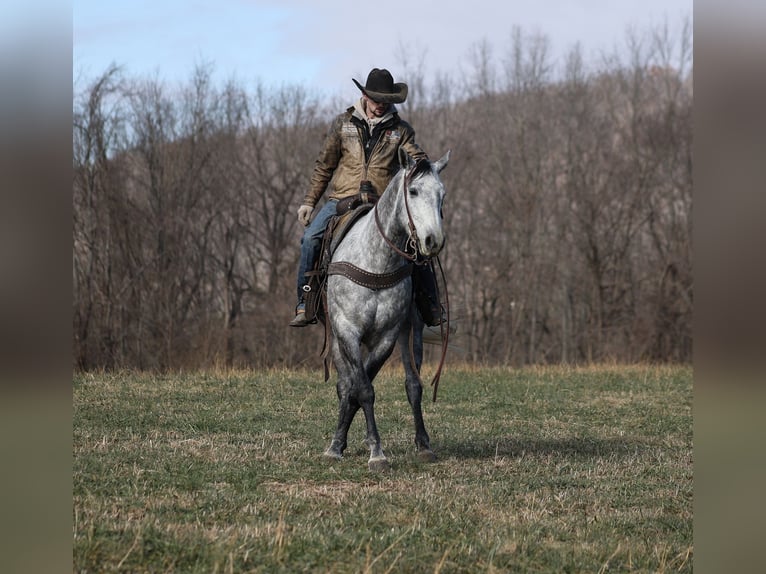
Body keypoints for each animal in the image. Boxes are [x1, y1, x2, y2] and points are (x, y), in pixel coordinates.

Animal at [323, 150, 450, 472]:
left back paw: (423, 445)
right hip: (336, 338)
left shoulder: (389, 335)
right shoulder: (347, 331)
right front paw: (370, 451)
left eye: (442, 195)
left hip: (409, 333)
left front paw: (368, 445)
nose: (433, 241)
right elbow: (361, 388)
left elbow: (366, 384)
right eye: (413, 191)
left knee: (412, 385)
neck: (376, 262)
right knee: (345, 383)